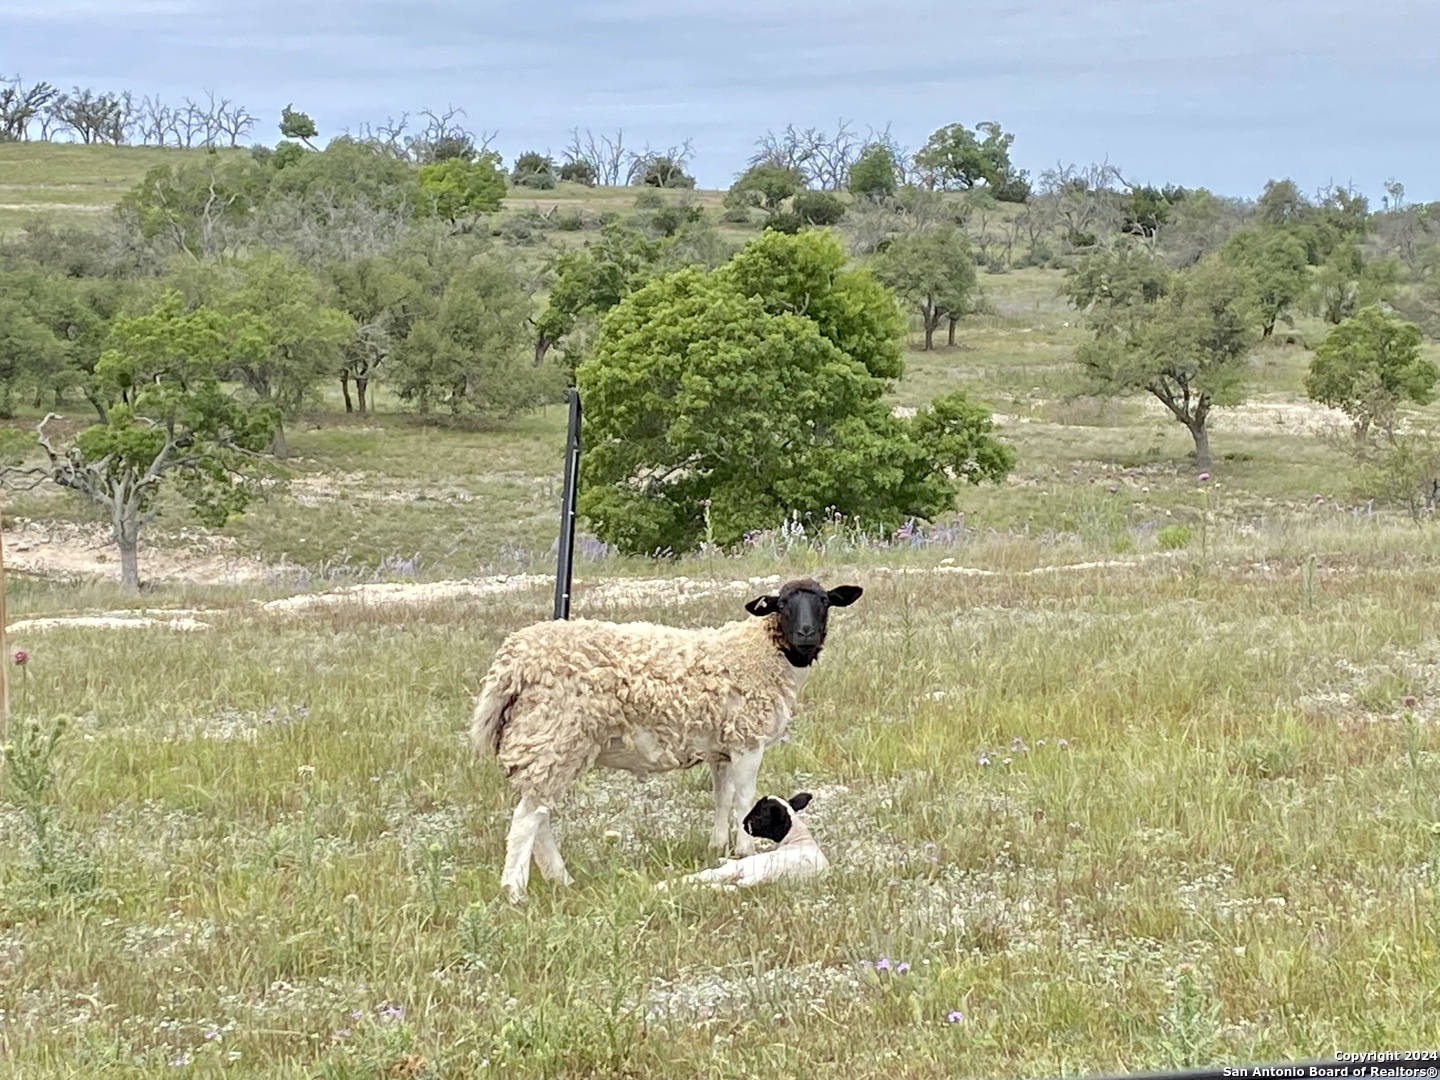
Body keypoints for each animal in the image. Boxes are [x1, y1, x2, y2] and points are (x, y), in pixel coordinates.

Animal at [656, 789, 829, 892]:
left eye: (758, 815)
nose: (744, 823)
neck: (798, 837)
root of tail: (770, 875)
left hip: (743, 868)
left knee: (708, 876)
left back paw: (663, 885)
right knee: (726, 886)